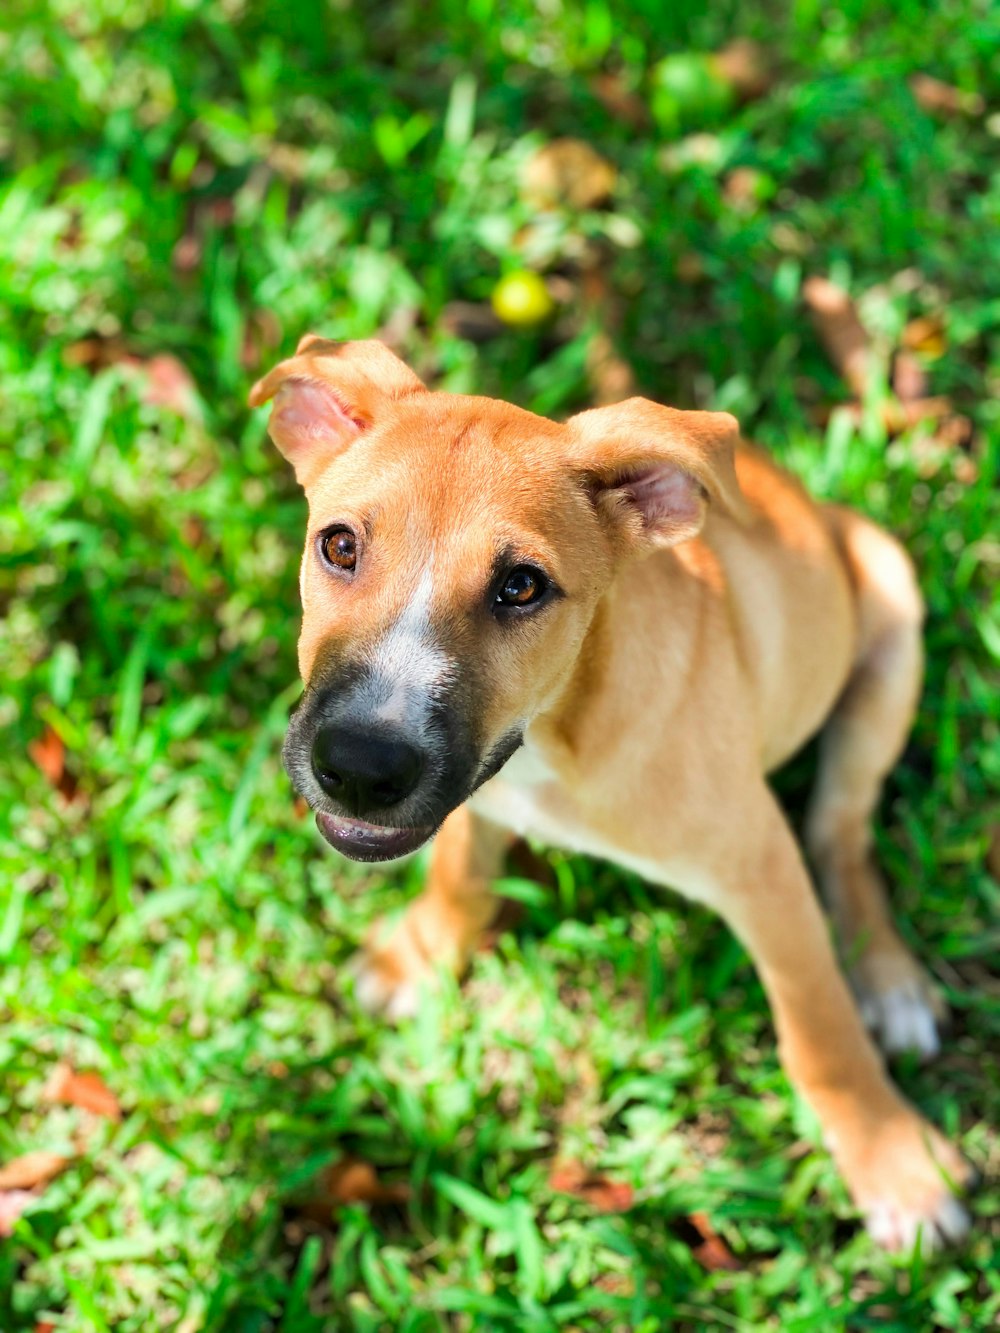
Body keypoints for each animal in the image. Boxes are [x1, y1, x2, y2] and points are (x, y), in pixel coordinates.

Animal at [250, 333, 981, 1247]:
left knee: (840, 832)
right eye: (340, 545)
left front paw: (895, 1163)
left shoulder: (761, 867)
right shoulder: (471, 796)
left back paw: (887, 977)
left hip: (889, 614)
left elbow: (821, 1030)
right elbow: (459, 870)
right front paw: (420, 950)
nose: (358, 768)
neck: (557, 732)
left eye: (522, 586)